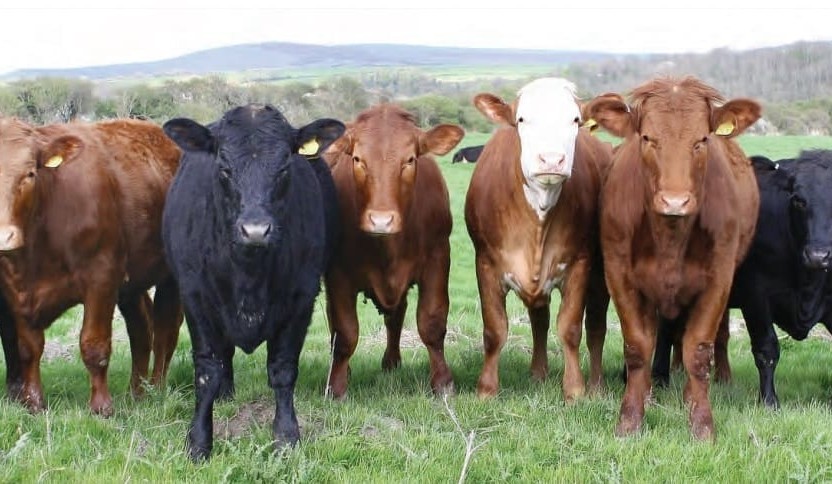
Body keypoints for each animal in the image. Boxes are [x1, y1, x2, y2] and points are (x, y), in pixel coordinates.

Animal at [0, 116, 184, 417]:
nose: (4, 236)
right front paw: (34, 402)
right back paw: (137, 392)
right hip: (132, 283)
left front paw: (101, 407)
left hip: (171, 275)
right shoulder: (15, 289)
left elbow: (94, 346)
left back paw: (156, 388)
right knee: (142, 328)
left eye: (30, 174)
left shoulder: (101, 277)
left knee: (166, 329)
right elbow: (27, 348)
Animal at [161, 104, 344, 460]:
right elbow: (207, 372)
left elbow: (283, 370)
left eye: (285, 167)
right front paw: (199, 443)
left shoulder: (302, 298)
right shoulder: (195, 297)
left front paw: (286, 437)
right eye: (223, 167)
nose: (255, 230)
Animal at [323, 104, 463, 399]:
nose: (381, 220)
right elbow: (345, 331)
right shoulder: (338, 272)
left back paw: (392, 361)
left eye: (409, 159)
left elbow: (432, 322)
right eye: (358, 159)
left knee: (396, 315)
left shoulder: (438, 259)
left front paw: (443, 382)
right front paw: (336, 387)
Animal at [465, 77, 612, 401]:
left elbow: (570, 328)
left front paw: (575, 390)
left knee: (596, 327)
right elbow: (494, 330)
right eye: (521, 119)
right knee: (540, 320)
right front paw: (486, 389)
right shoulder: (485, 263)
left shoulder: (580, 264)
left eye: (575, 119)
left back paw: (596, 385)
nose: (551, 159)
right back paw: (538, 373)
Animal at [583, 77, 761, 440]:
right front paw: (630, 418)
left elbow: (698, 350)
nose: (675, 201)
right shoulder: (619, 275)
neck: (670, 238)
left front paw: (702, 423)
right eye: (647, 138)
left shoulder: (718, 280)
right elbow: (638, 347)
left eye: (702, 139)